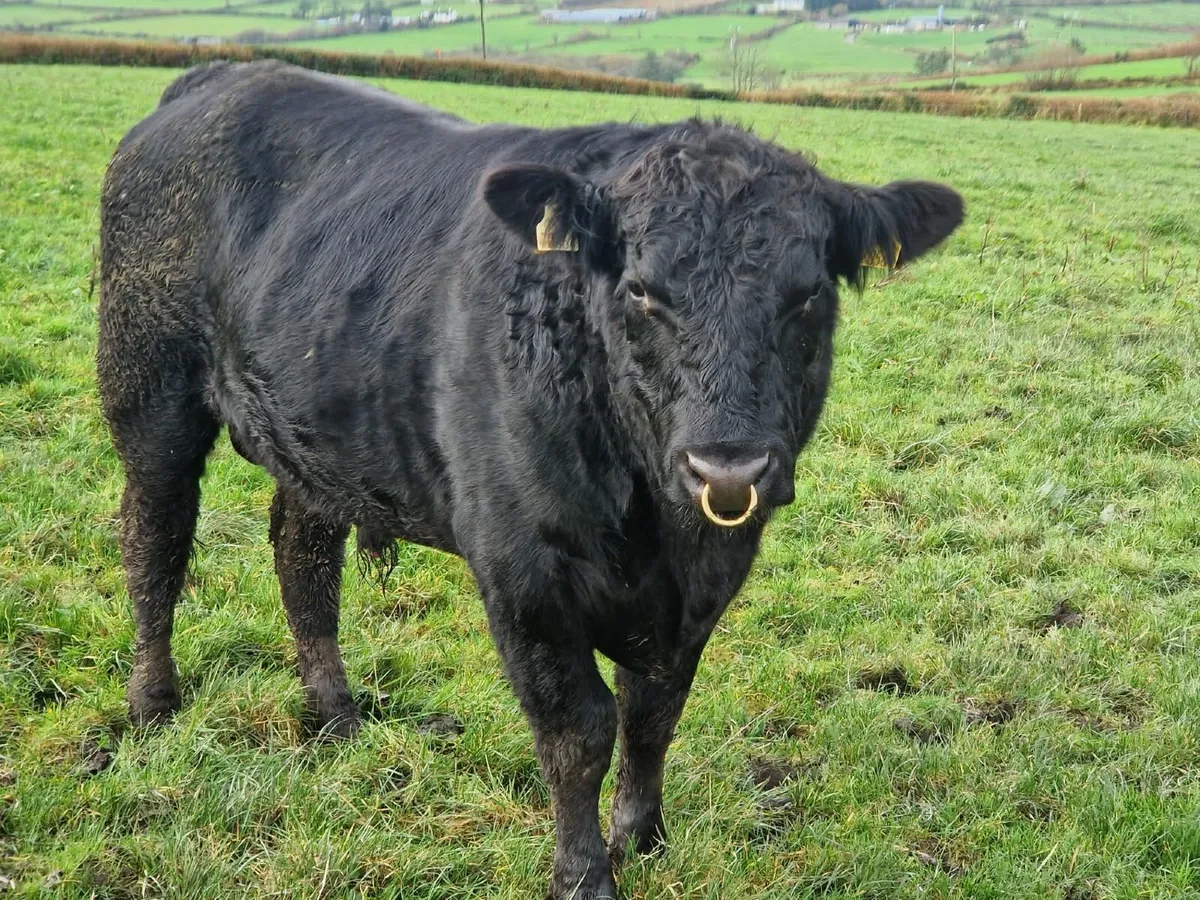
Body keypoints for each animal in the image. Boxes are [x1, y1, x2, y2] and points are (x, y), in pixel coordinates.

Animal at [97, 60, 963, 899]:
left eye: (808, 291)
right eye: (641, 288)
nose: (728, 464)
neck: (654, 528)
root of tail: (219, 76)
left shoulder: (712, 575)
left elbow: (654, 712)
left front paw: (641, 838)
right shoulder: (523, 573)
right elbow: (578, 730)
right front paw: (584, 875)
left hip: (314, 435)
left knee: (302, 553)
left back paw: (336, 714)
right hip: (149, 390)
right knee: (155, 540)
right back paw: (153, 703)